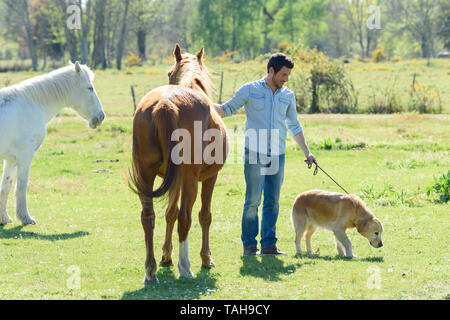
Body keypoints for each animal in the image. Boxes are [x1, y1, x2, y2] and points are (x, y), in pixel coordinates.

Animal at [0, 62, 105, 225]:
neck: (32, 104)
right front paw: (25, 218)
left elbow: (6, 187)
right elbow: (21, 187)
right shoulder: (24, 157)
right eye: (90, 88)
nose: (100, 117)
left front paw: (4, 218)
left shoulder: (11, 160)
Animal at [129, 43, 229, 284]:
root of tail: (165, 104)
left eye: (168, 72)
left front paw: (166, 256)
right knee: (186, 216)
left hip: (146, 175)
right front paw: (206, 258)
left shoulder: (172, 180)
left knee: (148, 217)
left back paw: (151, 271)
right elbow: (204, 216)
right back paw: (186, 267)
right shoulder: (209, 178)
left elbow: (169, 213)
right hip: (190, 180)